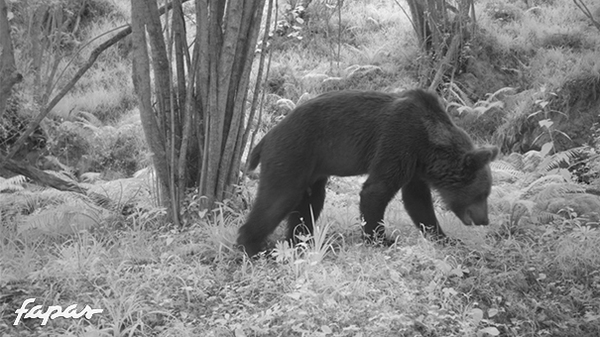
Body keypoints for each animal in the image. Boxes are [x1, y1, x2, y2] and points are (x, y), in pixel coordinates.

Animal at [237, 88, 500, 255]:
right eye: (483, 194)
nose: (485, 219)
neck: (429, 146)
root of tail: (266, 137)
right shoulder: (398, 143)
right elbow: (376, 191)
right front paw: (382, 239)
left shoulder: (415, 165)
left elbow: (418, 202)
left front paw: (444, 237)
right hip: (293, 154)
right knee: (277, 199)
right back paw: (253, 247)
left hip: (312, 171)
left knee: (308, 205)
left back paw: (300, 241)